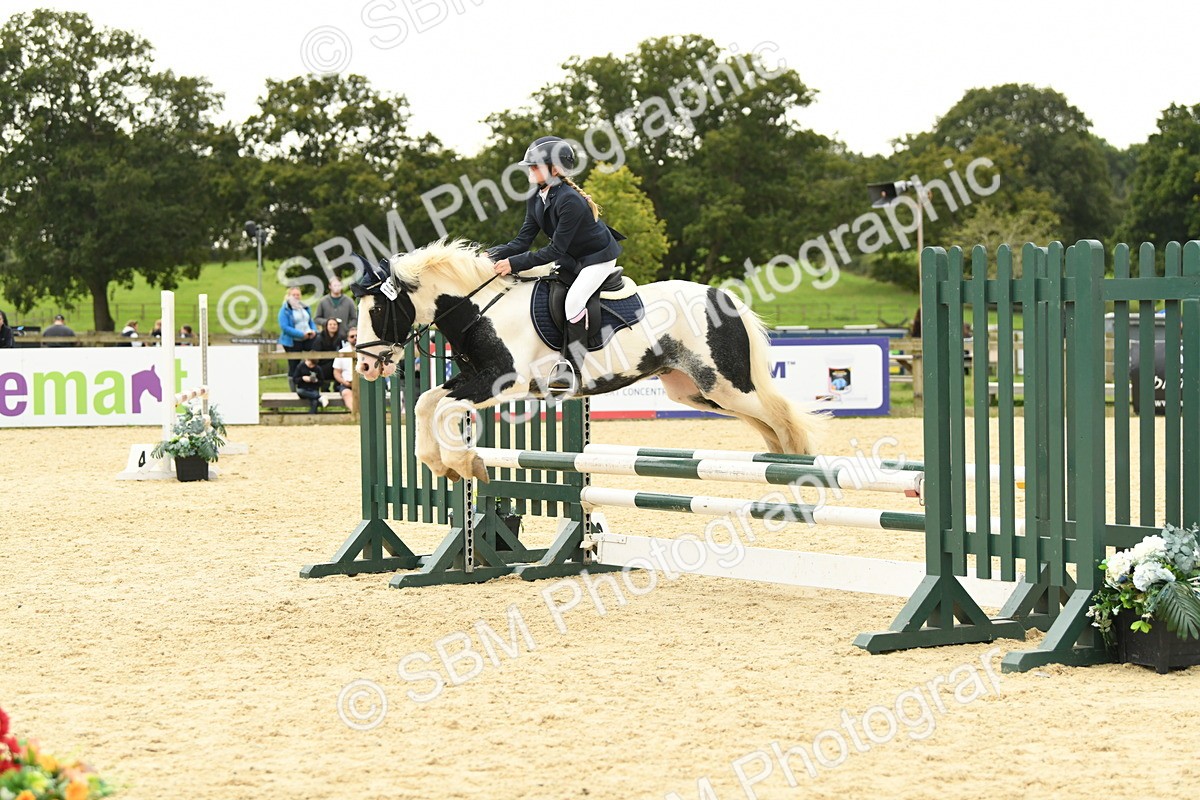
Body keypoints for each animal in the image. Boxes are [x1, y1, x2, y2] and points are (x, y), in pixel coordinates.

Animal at [352, 238, 819, 483]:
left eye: (377, 309)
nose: (366, 367)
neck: (481, 308)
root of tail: (721, 296)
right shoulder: (473, 377)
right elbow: (426, 403)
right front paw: (441, 465)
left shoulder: (502, 382)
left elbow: (443, 408)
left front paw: (465, 463)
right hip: (698, 392)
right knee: (765, 420)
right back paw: (777, 462)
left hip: (724, 383)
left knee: (780, 415)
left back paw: (795, 465)